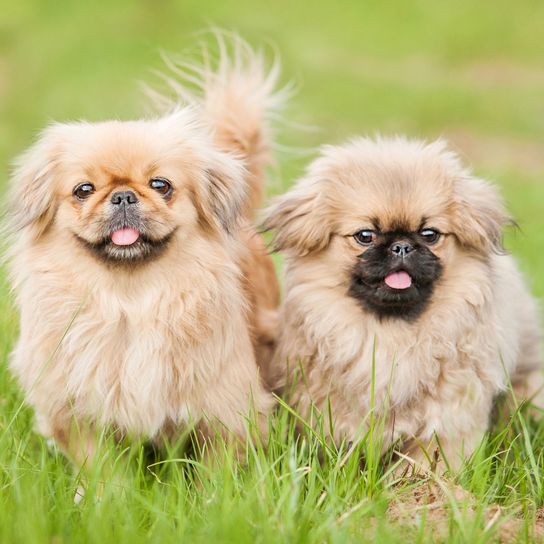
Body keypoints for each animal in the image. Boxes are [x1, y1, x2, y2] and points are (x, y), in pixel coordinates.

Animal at [5, 39, 280, 472]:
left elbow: (217, 471)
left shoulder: (226, 408)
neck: (129, 301)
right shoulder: (79, 413)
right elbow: (103, 471)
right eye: (84, 190)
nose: (123, 195)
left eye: (160, 185)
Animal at [262, 136, 540, 472]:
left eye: (429, 234)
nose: (402, 246)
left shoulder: (447, 418)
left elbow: (427, 463)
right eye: (365, 236)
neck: (393, 334)